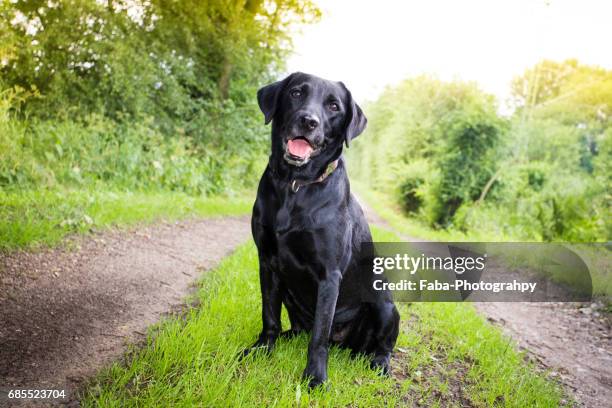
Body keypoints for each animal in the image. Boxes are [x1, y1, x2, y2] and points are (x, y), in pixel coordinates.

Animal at [246, 71, 400, 388]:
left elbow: (318, 336)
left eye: (333, 106)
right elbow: (269, 315)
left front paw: (315, 377)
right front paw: (263, 348)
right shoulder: (267, 262)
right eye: (295, 93)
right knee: (298, 327)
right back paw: (288, 336)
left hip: (385, 304)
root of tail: (346, 345)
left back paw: (378, 362)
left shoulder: (329, 275)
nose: (308, 121)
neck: (295, 185)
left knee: (382, 345)